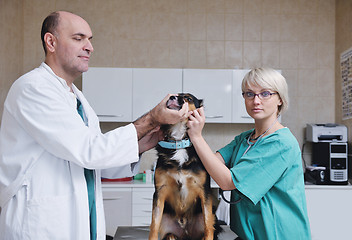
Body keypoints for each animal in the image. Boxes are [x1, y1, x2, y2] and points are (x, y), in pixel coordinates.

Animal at [149, 93, 221, 240]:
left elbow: (208, 226)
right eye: (174, 94)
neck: (179, 142)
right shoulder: (159, 191)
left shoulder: (205, 191)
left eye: (188, 98)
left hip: (212, 216)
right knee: (169, 234)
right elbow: (154, 225)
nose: (171, 97)